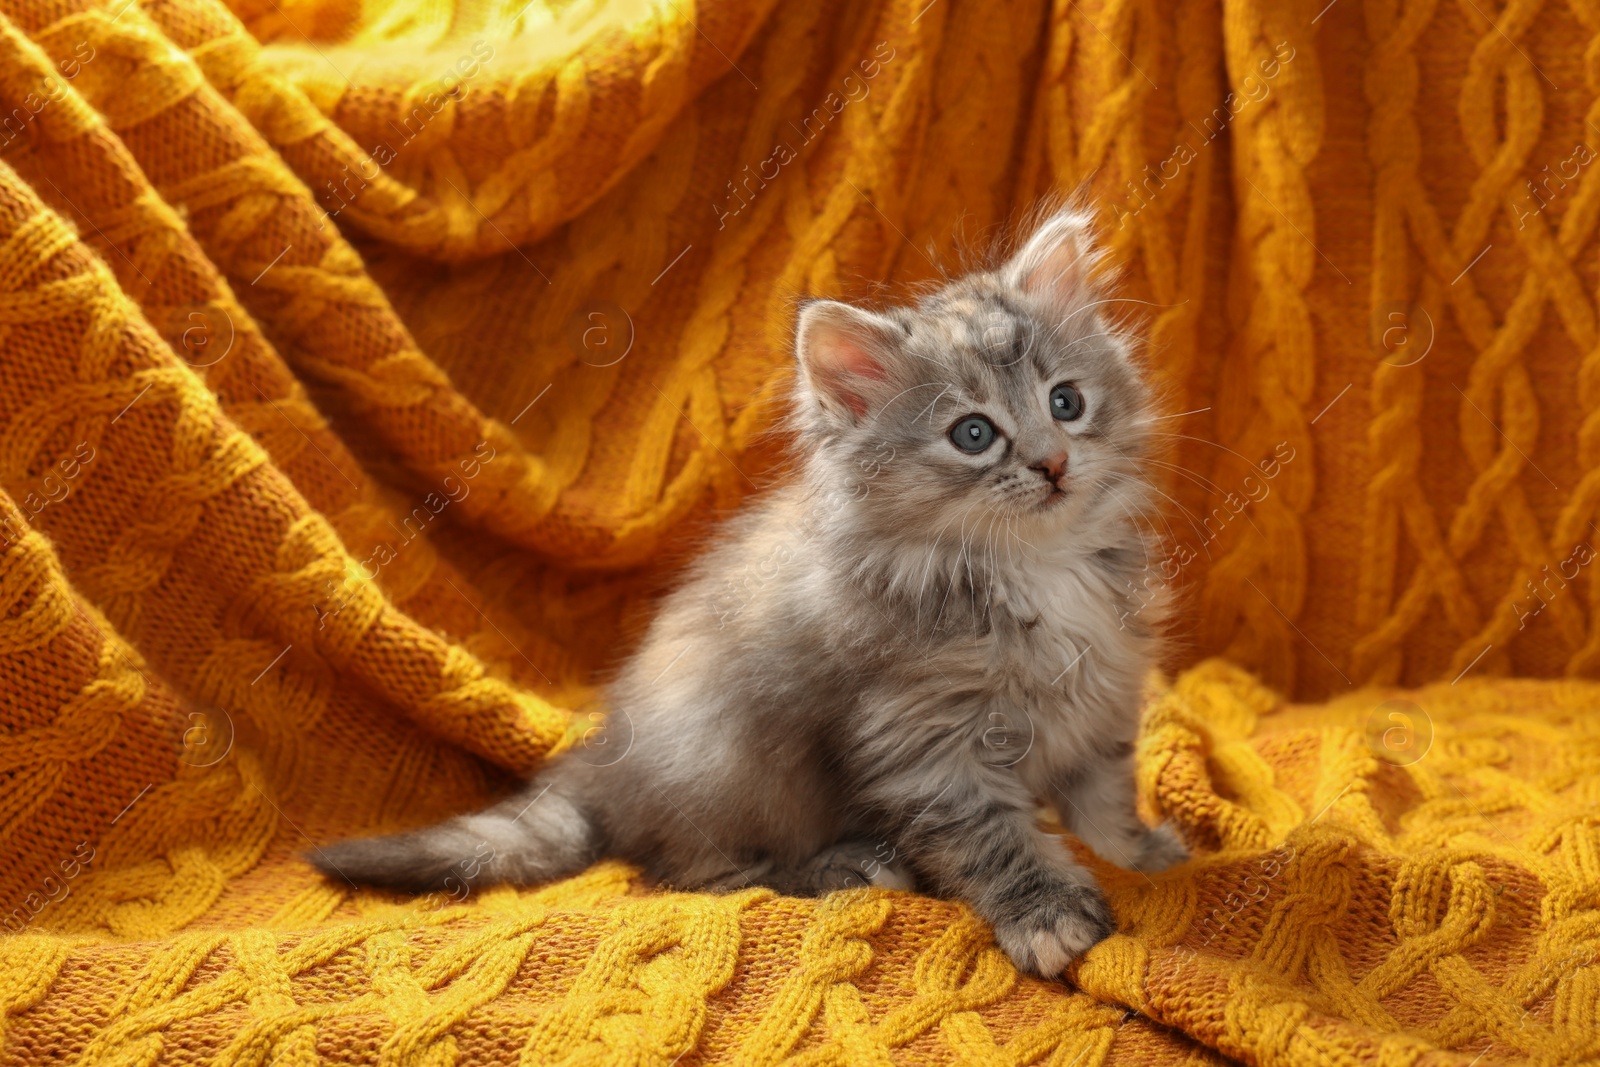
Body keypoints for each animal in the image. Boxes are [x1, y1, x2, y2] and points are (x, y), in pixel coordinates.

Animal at [315, 206, 1190, 979]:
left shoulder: (1104, 693)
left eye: (1066, 401)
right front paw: (1047, 916)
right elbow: (992, 838)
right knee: (695, 874)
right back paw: (844, 866)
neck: (1036, 567)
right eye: (972, 435)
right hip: (721, 757)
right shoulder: (925, 739)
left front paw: (1136, 854)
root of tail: (605, 759)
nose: (1054, 464)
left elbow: (1101, 796)